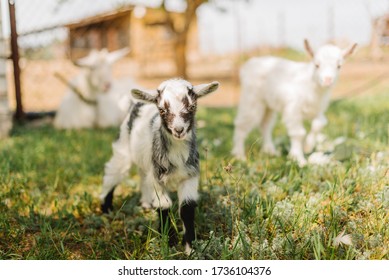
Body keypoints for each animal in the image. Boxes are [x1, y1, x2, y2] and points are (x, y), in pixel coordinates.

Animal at [99, 78, 218, 254]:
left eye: (192, 107)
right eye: (162, 110)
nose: (179, 130)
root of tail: (135, 104)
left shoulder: (190, 175)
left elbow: (187, 208)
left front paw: (190, 248)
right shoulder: (158, 178)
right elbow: (164, 206)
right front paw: (166, 243)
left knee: (142, 175)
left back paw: (146, 203)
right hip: (123, 147)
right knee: (113, 173)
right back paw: (106, 208)